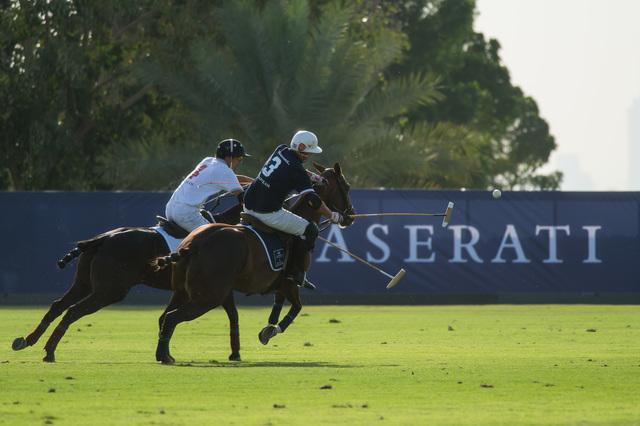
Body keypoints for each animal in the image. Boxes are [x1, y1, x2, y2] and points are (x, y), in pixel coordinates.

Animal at [12, 204, 242, 362]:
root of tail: (103, 238)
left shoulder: (215, 290)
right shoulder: (217, 289)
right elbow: (232, 315)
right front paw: (235, 353)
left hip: (85, 283)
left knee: (58, 305)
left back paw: (28, 340)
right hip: (111, 289)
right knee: (74, 310)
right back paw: (49, 351)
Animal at [155, 162, 356, 362]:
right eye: (346, 186)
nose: (350, 216)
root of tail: (194, 244)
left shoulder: (281, 283)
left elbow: (279, 304)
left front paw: (268, 329)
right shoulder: (291, 282)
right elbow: (297, 307)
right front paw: (270, 331)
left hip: (182, 291)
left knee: (164, 317)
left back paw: (165, 354)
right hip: (210, 295)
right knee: (172, 317)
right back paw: (164, 356)